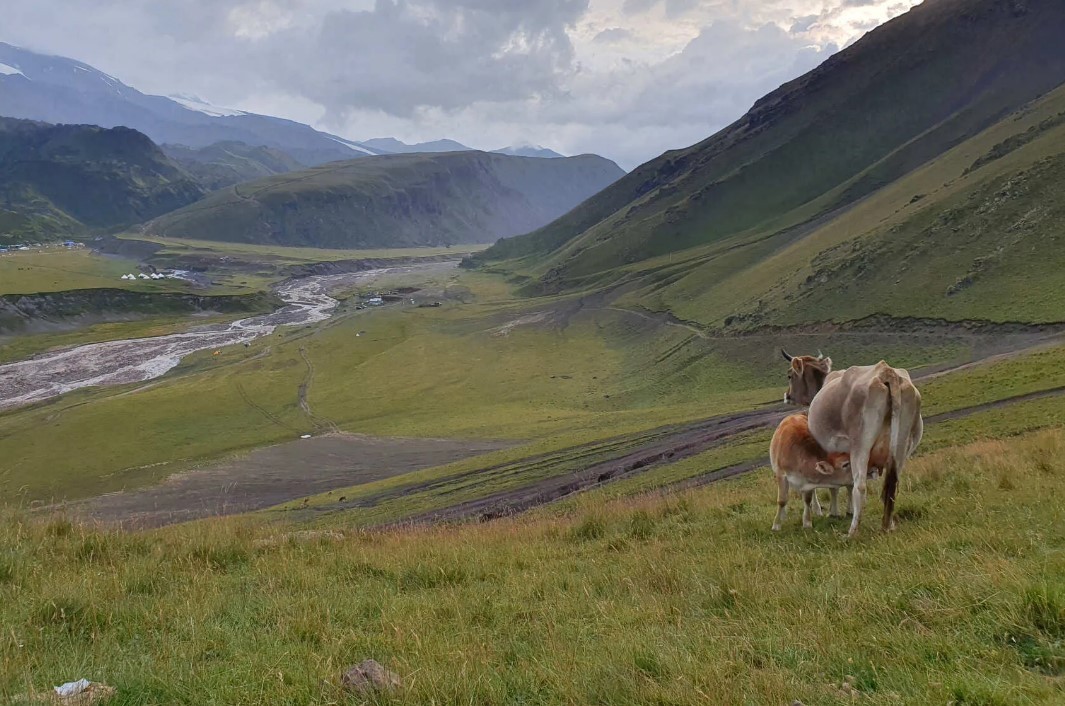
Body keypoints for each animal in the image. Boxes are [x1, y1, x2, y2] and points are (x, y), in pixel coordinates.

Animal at [783, 351, 924, 538]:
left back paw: (852, 531)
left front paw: (833, 512)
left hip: (861, 446)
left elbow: (836, 485)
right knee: (892, 483)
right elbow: (846, 482)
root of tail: (886, 373)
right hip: (903, 446)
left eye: (790, 375)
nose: (787, 396)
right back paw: (888, 525)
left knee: (861, 486)